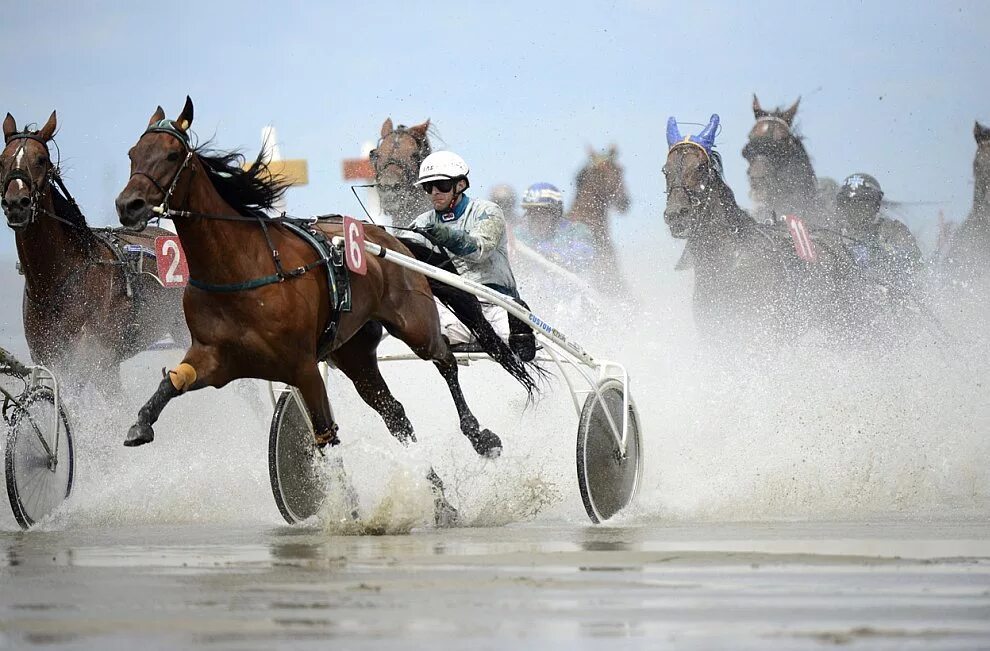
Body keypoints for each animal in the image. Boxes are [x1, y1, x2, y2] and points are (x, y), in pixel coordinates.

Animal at [0, 111, 186, 398]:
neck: (57, 283)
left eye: (41, 159)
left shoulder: (97, 362)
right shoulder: (51, 362)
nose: (16, 204)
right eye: (2, 160)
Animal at [116, 95, 644, 524]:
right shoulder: (216, 358)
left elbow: (326, 437)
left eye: (171, 155)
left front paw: (346, 508)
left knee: (447, 361)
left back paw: (491, 438)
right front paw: (140, 424)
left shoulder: (302, 364)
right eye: (131, 154)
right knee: (398, 417)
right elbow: (174, 380)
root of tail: (393, 242)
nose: (128, 206)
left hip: (414, 324)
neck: (242, 270)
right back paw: (441, 500)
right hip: (353, 353)